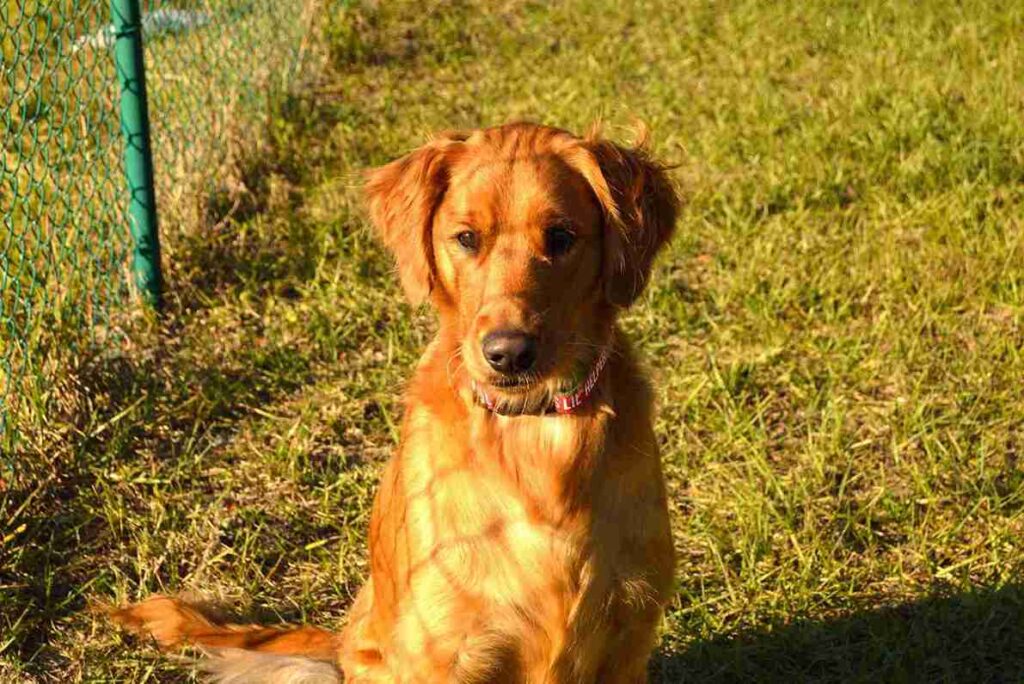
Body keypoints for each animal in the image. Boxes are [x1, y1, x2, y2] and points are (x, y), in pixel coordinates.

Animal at [112, 124, 679, 684]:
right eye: (466, 238)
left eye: (561, 237)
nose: (508, 353)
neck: (535, 440)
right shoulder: (443, 651)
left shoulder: (628, 637)